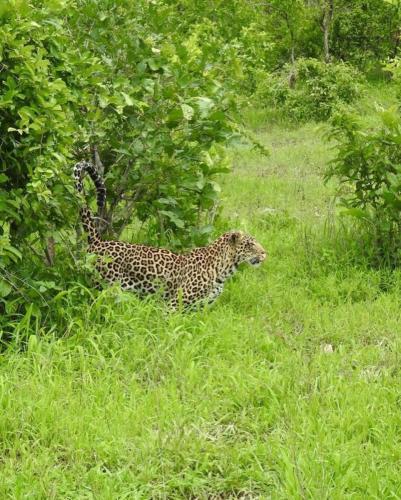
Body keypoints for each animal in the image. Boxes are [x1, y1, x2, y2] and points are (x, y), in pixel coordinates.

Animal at [74, 160, 268, 308]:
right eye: (251, 244)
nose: (265, 253)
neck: (224, 270)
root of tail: (99, 241)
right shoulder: (174, 305)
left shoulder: (200, 308)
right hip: (103, 287)